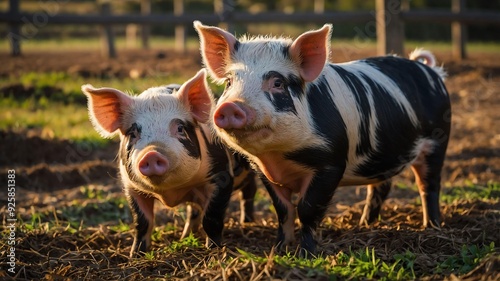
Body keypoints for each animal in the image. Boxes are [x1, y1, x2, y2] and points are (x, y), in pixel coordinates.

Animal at [81, 68, 258, 256]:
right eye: (133, 134)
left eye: (180, 128)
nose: (152, 152)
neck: (171, 192)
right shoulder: (132, 188)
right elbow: (142, 222)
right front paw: (135, 254)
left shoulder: (221, 176)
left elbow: (212, 217)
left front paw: (213, 249)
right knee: (193, 210)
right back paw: (185, 236)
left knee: (249, 192)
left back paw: (247, 222)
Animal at [193, 20, 452, 255]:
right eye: (229, 82)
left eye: (277, 82)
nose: (231, 106)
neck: (277, 157)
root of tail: (430, 71)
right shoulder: (263, 170)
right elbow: (284, 211)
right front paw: (279, 250)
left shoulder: (331, 163)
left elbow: (307, 209)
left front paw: (307, 254)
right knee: (381, 186)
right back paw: (365, 224)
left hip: (438, 140)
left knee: (429, 185)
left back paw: (431, 227)